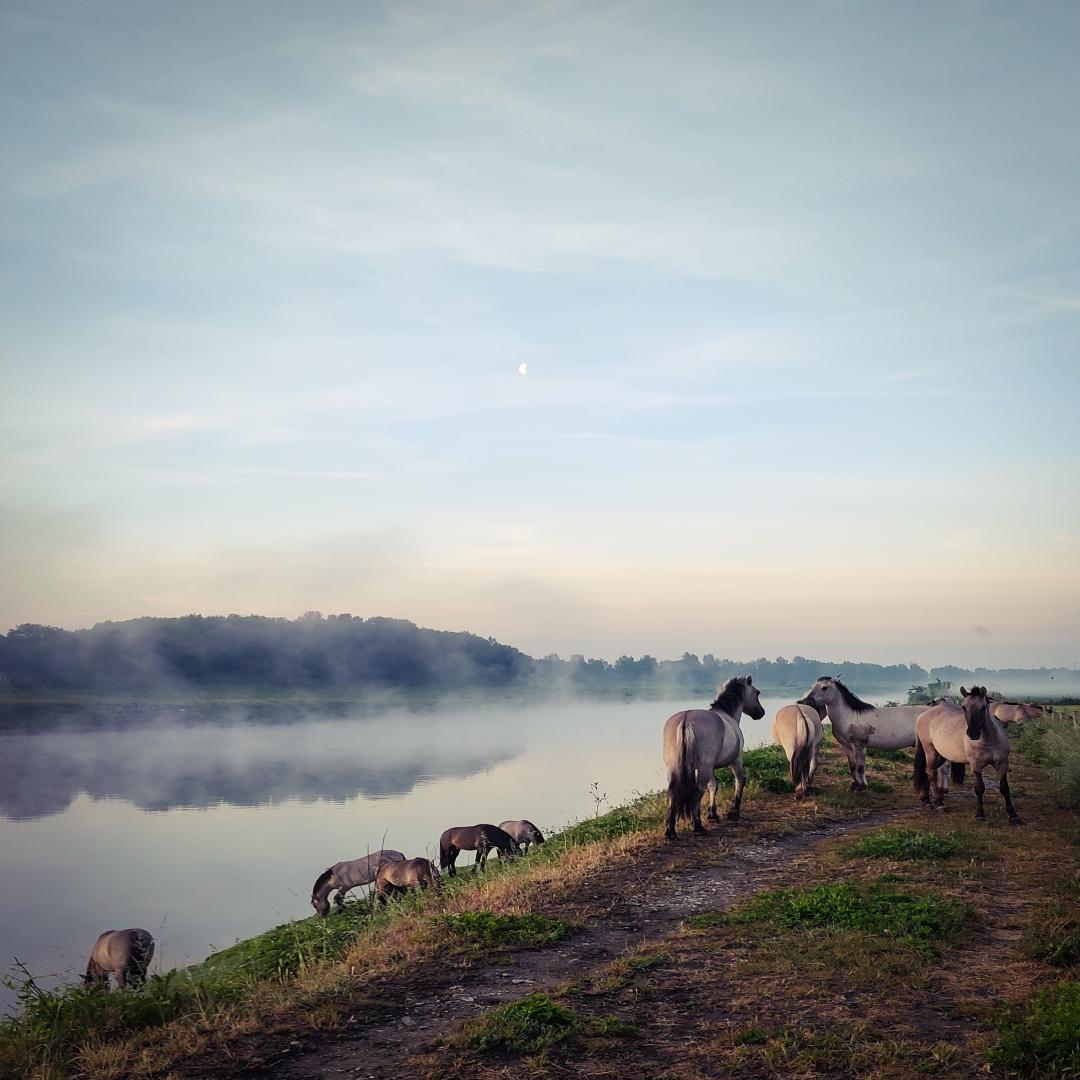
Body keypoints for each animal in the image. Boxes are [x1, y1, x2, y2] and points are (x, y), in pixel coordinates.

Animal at [656, 669, 768, 838]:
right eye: (757, 692)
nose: (761, 713)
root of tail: (686, 720)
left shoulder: (708, 768)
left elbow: (713, 786)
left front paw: (713, 814)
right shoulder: (736, 760)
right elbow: (739, 780)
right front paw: (733, 812)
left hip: (675, 769)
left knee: (672, 795)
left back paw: (671, 831)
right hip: (705, 768)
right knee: (697, 793)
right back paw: (697, 826)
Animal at [911, 686, 1019, 820]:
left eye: (983, 707)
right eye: (963, 707)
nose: (973, 733)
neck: (989, 740)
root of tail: (922, 715)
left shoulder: (1002, 763)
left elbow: (1004, 788)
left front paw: (1013, 815)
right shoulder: (976, 765)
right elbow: (979, 788)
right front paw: (980, 814)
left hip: (941, 755)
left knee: (931, 772)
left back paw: (930, 800)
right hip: (930, 751)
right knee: (930, 773)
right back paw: (938, 803)